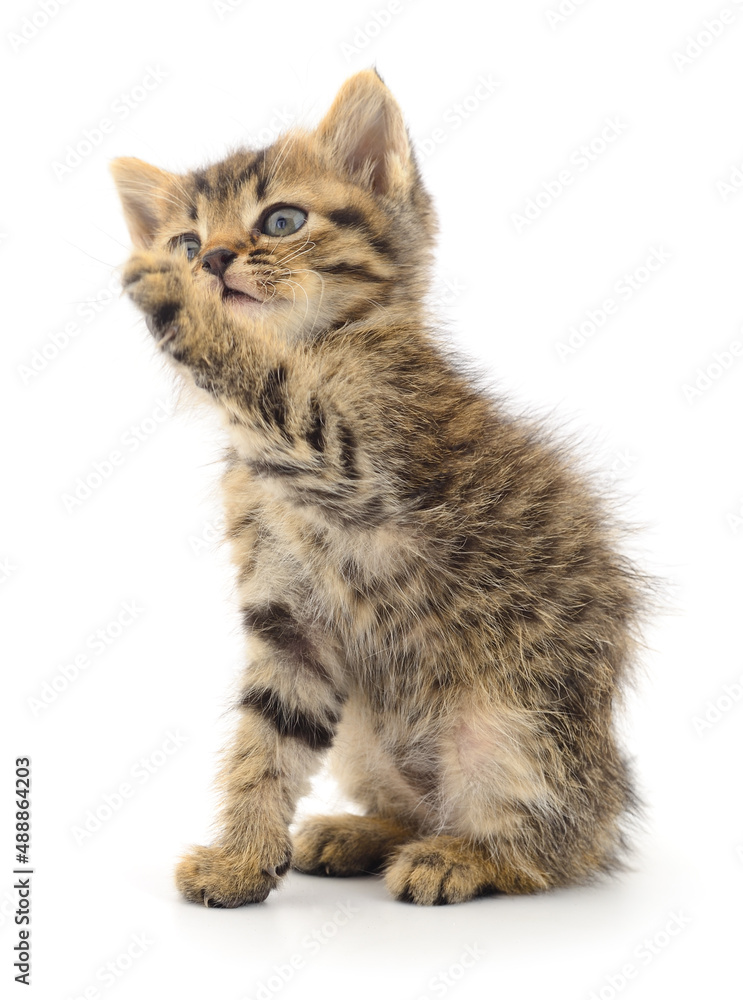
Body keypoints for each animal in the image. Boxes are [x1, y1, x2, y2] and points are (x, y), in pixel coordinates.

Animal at [109, 66, 644, 904]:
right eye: (189, 240)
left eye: (281, 220)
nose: (212, 261)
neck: (319, 349)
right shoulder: (290, 617)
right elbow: (266, 739)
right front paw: (240, 859)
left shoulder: (370, 477)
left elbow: (271, 389)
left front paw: (181, 307)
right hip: (368, 740)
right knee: (418, 807)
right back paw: (364, 831)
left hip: (514, 727)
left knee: (550, 849)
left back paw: (462, 856)